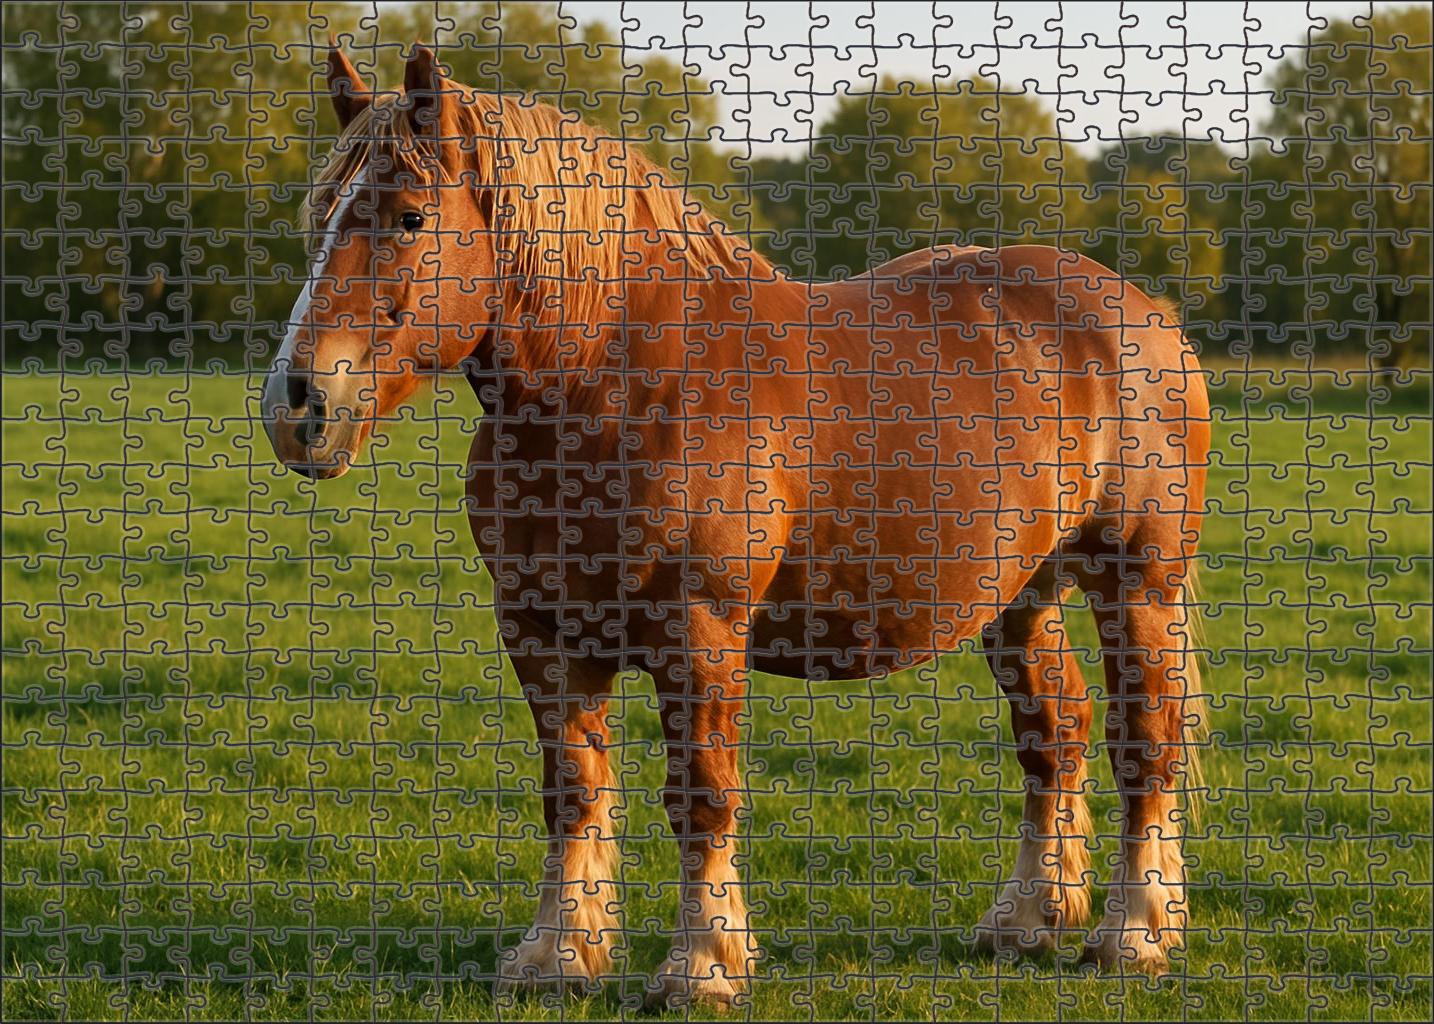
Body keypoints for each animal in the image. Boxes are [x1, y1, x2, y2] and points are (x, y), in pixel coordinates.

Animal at [261, 45, 1210, 1009]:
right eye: (319, 215)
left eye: (410, 216)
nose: (298, 406)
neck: (616, 383)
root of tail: (1142, 317)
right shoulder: (540, 631)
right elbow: (572, 790)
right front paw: (558, 957)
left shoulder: (700, 630)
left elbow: (702, 795)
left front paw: (701, 966)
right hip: (1021, 599)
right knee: (1056, 736)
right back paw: (1025, 921)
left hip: (1137, 585)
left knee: (1147, 743)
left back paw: (1133, 935)